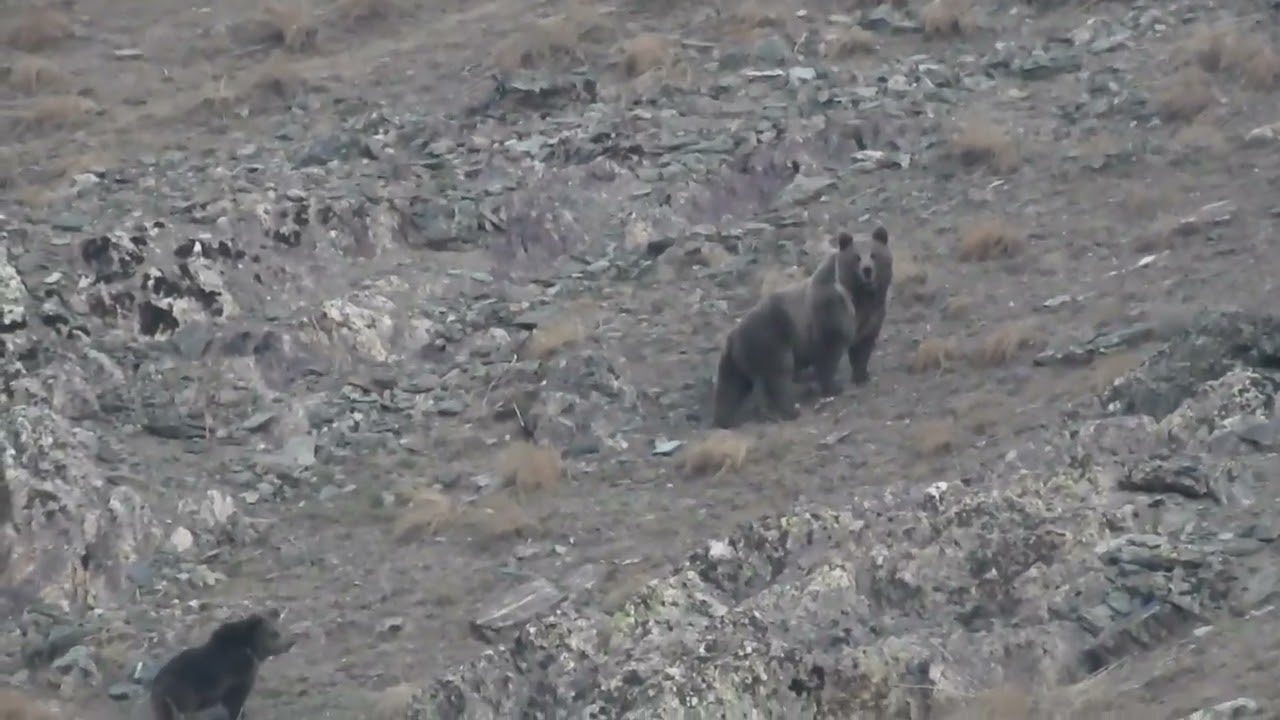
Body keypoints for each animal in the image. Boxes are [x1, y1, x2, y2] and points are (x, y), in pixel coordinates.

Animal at [149, 610, 295, 720]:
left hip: (164, 703)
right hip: (183, 694)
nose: (290, 643)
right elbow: (235, 700)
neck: (250, 648)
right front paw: (240, 715)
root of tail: (156, 685)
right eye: (275, 634)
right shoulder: (238, 675)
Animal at [711, 225, 893, 429]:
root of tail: (733, 337)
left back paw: (725, 419)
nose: (867, 270)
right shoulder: (830, 314)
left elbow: (863, 347)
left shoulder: (872, 316)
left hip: (737, 360)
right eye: (857, 257)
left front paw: (862, 375)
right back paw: (790, 410)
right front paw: (833, 387)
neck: (859, 297)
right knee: (778, 376)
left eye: (874, 254)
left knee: (730, 386)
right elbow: (828, 353)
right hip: (771, 338)